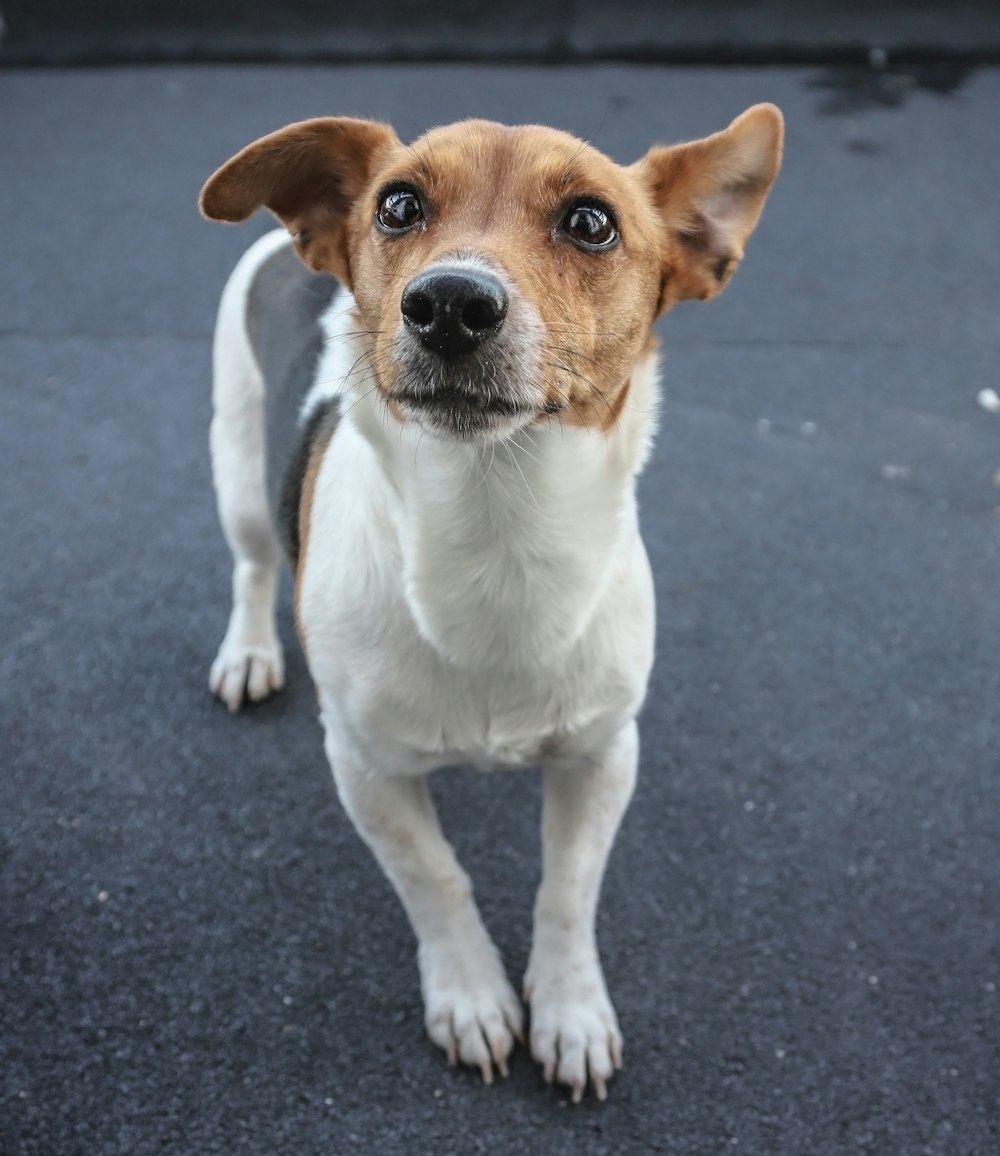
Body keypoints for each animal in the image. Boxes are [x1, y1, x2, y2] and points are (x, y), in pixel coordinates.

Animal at [198, 108, 786, 1100]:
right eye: (398, 205)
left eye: (590, 222)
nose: (448, 303)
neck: (495, 537)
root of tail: (283, 246)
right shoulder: (364, 767)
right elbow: (435, 879)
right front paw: (470, 995)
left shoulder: (603, 754)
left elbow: (568, 889)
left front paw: (571, 1008)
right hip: (238, 467)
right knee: (251, 564)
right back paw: (249, 652)